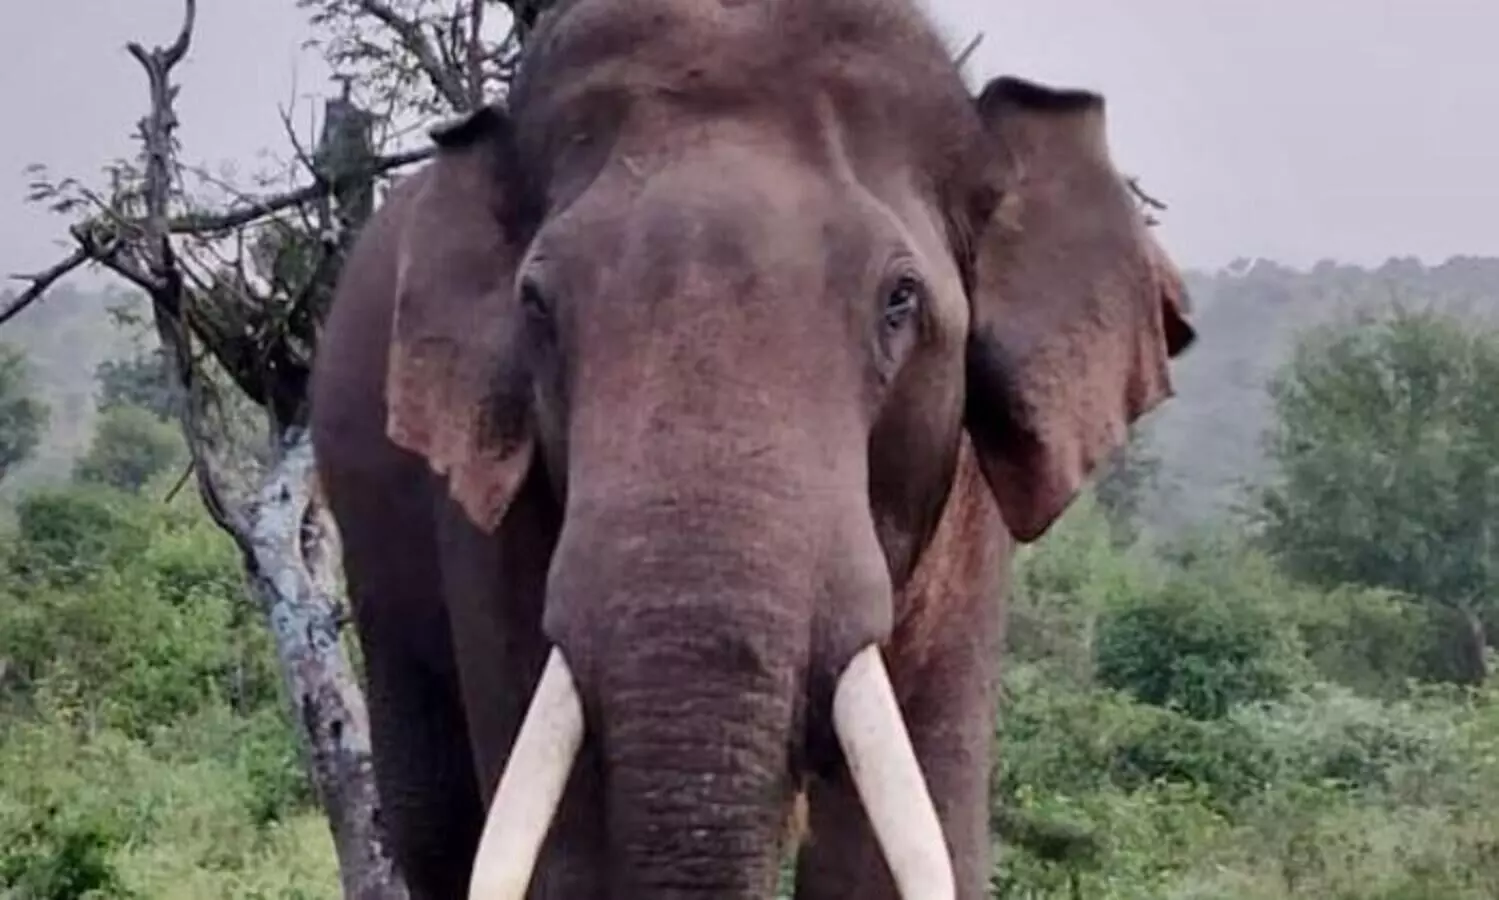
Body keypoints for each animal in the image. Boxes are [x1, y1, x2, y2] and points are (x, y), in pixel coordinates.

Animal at [307, 0, 1197, 897]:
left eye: (899, 300)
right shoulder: (495, 511)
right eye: (536, 305)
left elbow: (898, 843)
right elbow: (566, 854)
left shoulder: (967, 520)